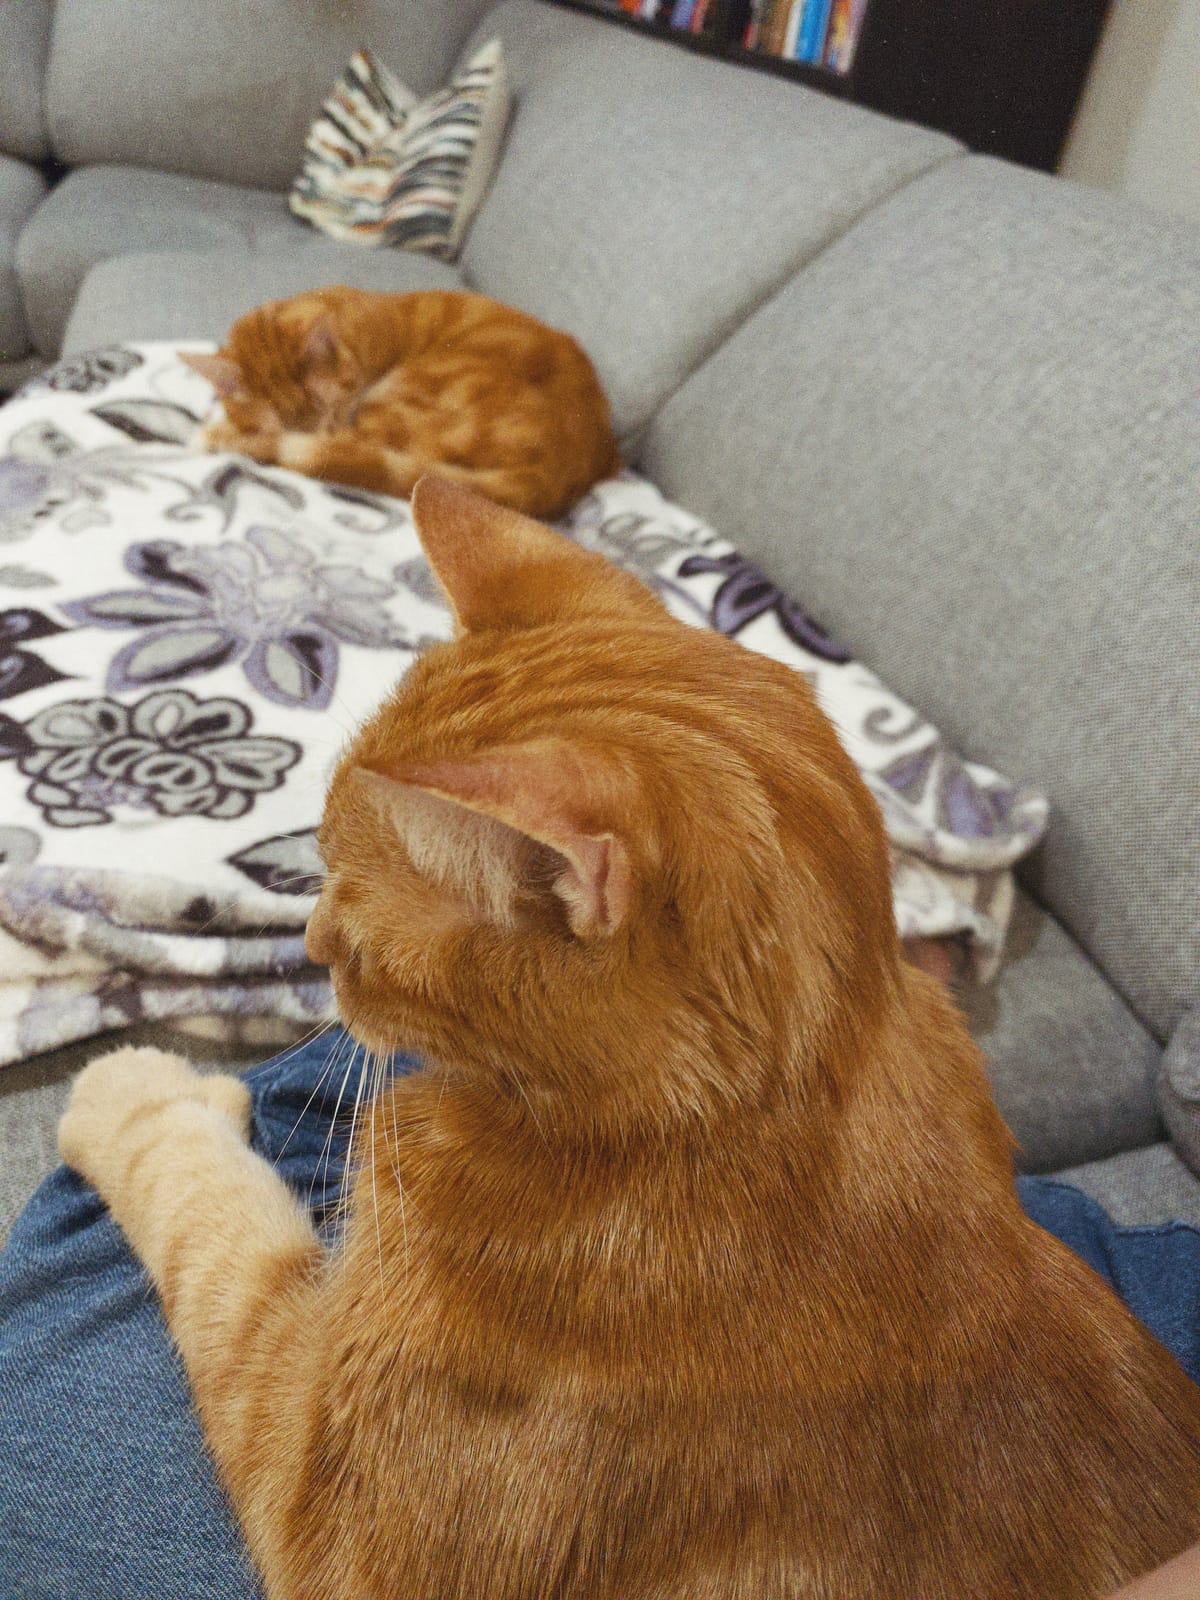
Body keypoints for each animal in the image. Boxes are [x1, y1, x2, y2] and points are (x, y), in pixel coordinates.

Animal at [58, 476, 1200, 1600]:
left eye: (352, 924)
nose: (306, 941)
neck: (768, 1106)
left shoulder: (327, 1513)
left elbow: (208, 1224)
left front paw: (128, 1091)